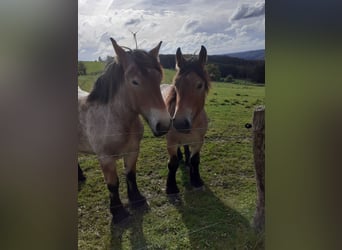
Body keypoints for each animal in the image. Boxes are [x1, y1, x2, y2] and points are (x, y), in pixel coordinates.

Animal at [78, 38, 170, 223]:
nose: (163, 125)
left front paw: (137, 200)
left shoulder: (133, 151)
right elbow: (113, 184)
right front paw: (118, 212)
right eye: (134, 82)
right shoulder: (106, 158)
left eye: (159, 79)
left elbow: (130, 175)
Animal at [161, 46, 211, 194]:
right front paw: (171, 187)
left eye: (199, 85)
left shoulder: (199, 141)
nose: (180, 123)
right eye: (176, 84)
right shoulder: (171, 142)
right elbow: (172, 163)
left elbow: (195, 160)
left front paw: (196, 180)